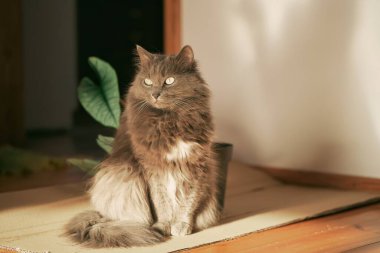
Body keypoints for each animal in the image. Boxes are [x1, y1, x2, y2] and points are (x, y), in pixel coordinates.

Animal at [65, 45, 220, 247]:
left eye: (169, 81)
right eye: (147, 82)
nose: (155, 94)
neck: (168, 121)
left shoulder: (196, 167)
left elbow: (188, 203)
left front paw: (182, 226)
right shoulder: (153, 169)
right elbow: (162, 203)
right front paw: (164, 225)